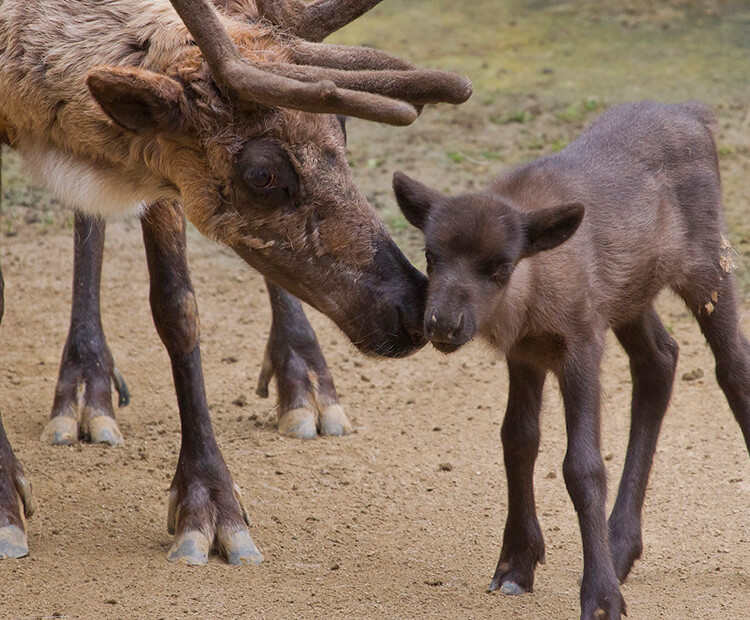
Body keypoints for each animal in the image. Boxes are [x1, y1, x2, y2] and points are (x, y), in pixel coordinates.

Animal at [394, 103, 750, 620]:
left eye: (500, 266)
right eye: (430, 255)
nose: (441, 324)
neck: (530, 297)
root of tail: (695, 114)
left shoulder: (581, 344)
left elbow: (582, 466)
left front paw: (600, 597)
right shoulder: (525, 355)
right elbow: (518, 440)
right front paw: (516, 564)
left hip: (709, 264)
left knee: (733, 367)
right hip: (630, 295)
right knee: (660, 359)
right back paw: (621, 547)